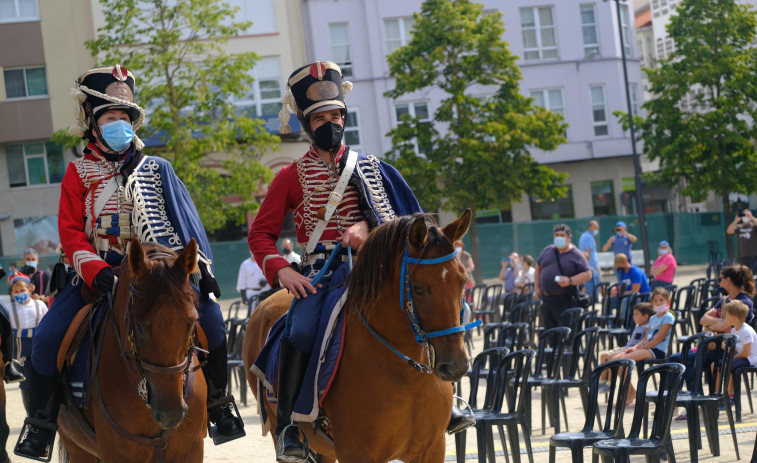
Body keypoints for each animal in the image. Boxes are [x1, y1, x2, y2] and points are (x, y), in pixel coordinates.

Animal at [55, 241, 207, 462]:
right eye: (139, 326)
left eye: (192, 322)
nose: (170, 412)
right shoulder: (116, 455)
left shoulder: (192, 451)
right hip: (77, 448)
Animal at [245, 211, 472, 463]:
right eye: (419, 289)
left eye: (462, 281)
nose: (456, 366)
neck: (406, 375)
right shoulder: (356, 452)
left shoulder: (432, 449)